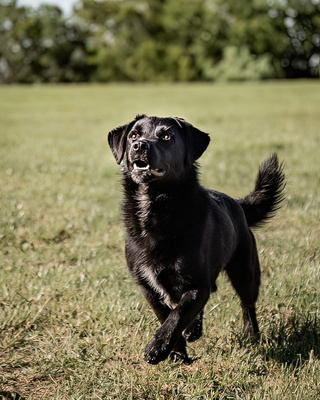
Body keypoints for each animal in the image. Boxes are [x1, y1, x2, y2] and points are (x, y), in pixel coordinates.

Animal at [107, 114, 284, 364]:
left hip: (245, 272)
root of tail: (238, 205)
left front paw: (157, 347)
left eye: (167, 136)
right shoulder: (147, 286)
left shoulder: (197, 285)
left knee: (247, 304)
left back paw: (252, 335)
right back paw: (194, 329)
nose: (139, 146)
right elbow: (167, 316)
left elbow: (177, 315)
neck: (156, 208)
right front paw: (176, 352)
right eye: (133, 135)